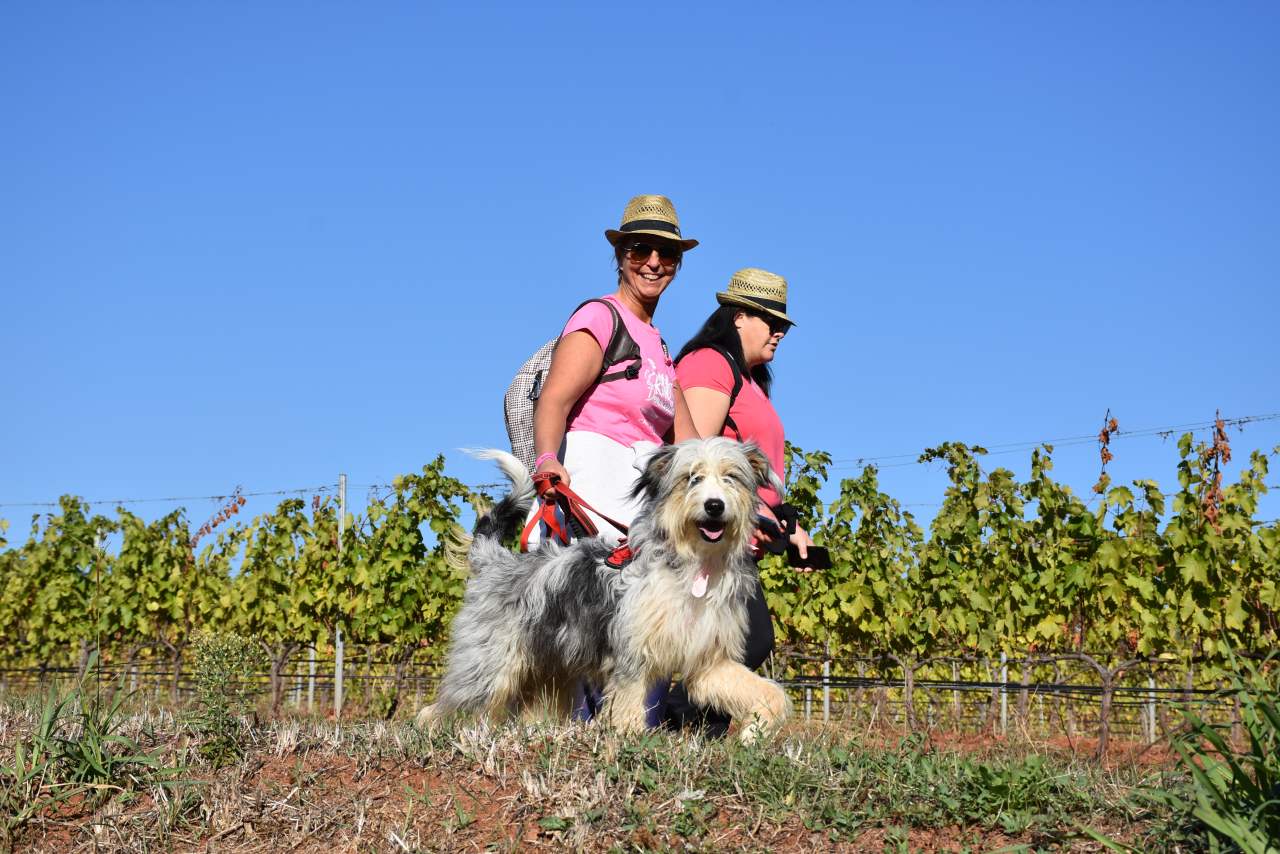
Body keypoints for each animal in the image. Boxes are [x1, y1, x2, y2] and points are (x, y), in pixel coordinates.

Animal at [414, 437, 788, 742]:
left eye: (731, 477)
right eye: (691, 478)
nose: (714, 505)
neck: (693, 567)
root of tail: (492, 559)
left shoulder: (709, 662)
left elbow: (771, 694)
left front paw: (754, 733)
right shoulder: (631, 657)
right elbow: (627, 709)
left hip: (547, 671)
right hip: (487, 665)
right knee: (442, 707)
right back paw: (431, 730)